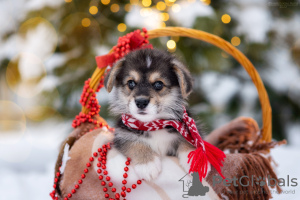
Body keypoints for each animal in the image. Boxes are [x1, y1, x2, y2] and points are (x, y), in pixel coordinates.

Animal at [104, 48, 200, 181]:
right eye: (131, 83)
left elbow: (187, 141)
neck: (153, 125)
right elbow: (134, 143)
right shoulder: (121, 136)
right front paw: (147, 165)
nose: (141, 102)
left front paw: (195, 161)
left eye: (158, 84)